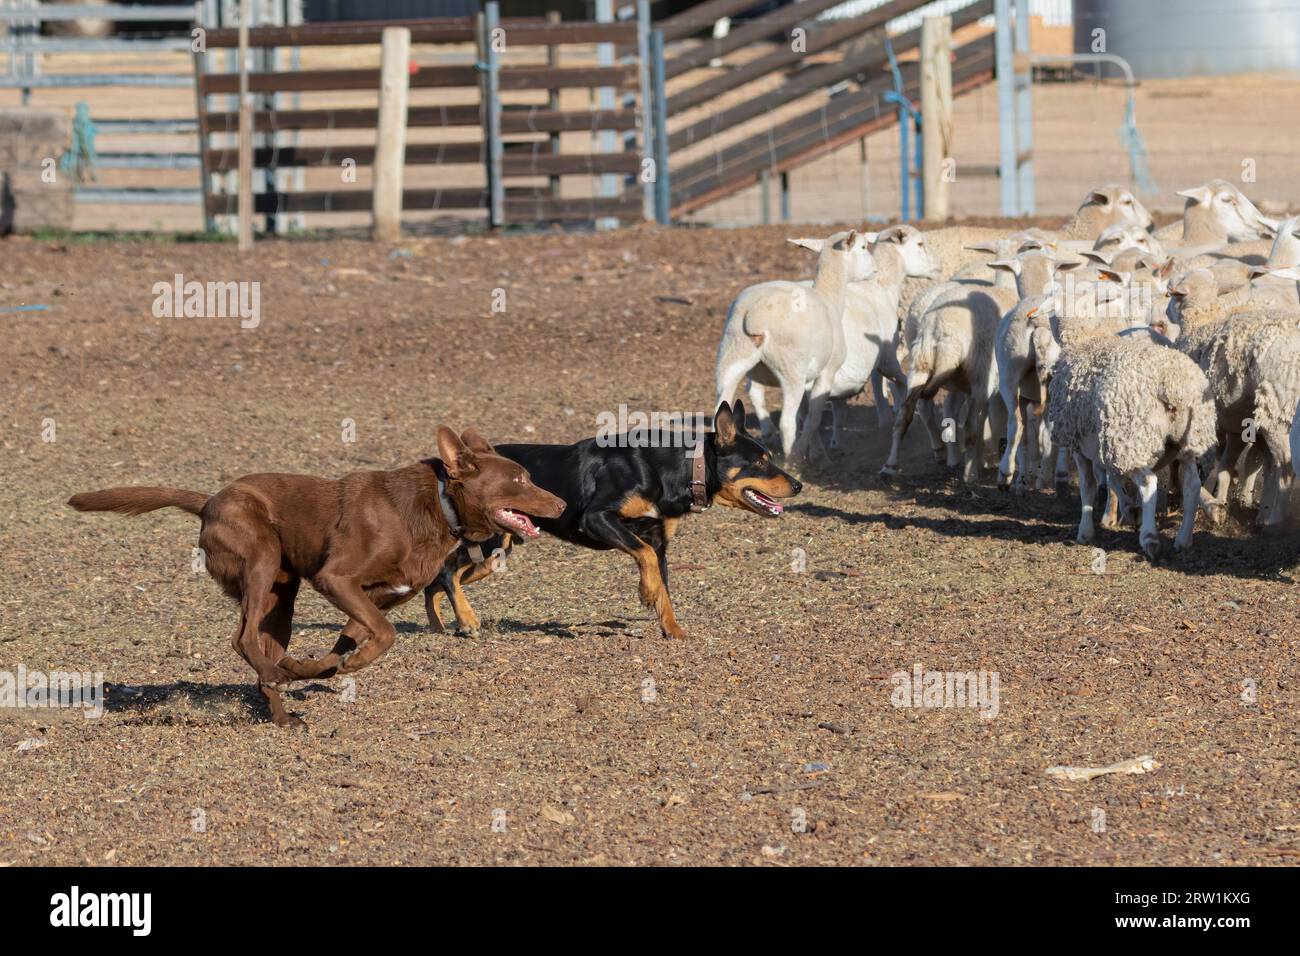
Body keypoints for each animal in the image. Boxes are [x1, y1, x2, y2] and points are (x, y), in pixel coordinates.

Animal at [65, 429, 564, 728]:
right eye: (520, 479)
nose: (560, 504)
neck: (438, 507)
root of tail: (208, 501)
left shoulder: (379, 596)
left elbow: (347, 641)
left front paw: (316, 668)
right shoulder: (335, 580)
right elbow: (383, 635)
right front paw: (346, 667)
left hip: (281, 596)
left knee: (263, 647)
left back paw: (284, 711)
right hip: (262, 558)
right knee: (242, 639)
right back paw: (274, 676)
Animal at [1045, 338, 1216, 556]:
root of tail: (1172, 383)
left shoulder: (1080, 447)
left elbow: (1088, 487)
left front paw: (1085, 531)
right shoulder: (1110, 445)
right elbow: (1113, 479)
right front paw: (1131, 511)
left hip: (1132, 436)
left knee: (1148, 482)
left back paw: (1150, 538)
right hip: (1186, 443)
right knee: (1192, 485)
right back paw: (1183, 540)